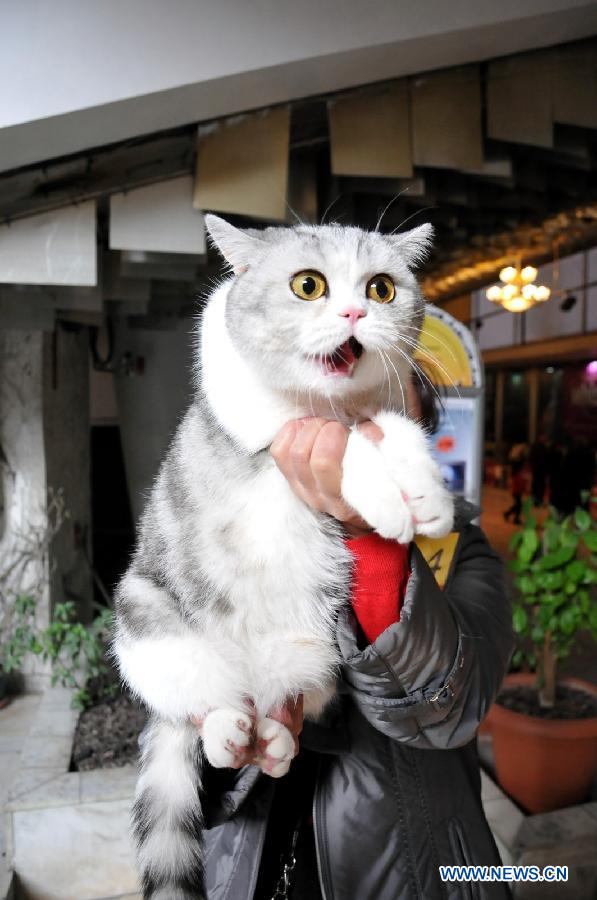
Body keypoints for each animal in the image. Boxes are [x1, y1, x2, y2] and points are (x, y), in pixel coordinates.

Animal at [114, 214, 454, 896]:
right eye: (308, 285)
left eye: (382, 288)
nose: (354, 311)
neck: (329, 408)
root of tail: (255, 680)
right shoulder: (264, 432)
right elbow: (346, 446)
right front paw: (388, 495)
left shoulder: (382, 410)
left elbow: (389, 430)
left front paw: (424, 490)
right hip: (147, 623)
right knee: (198, 707)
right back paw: (227, 730)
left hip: (317, 655)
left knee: (290, 708)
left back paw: (273, 736)